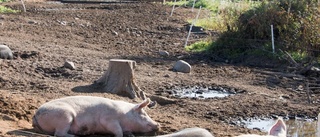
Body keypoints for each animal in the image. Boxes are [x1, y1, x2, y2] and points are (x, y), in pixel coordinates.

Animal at [32, 95, 160, 137]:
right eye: (143, 114)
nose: (158, 124)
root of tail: (35, 115)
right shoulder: (108, 119)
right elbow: (118, 131)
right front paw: (120, 135)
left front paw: (131, 135)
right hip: (65, 116)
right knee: (59, 134)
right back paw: (75, 136)